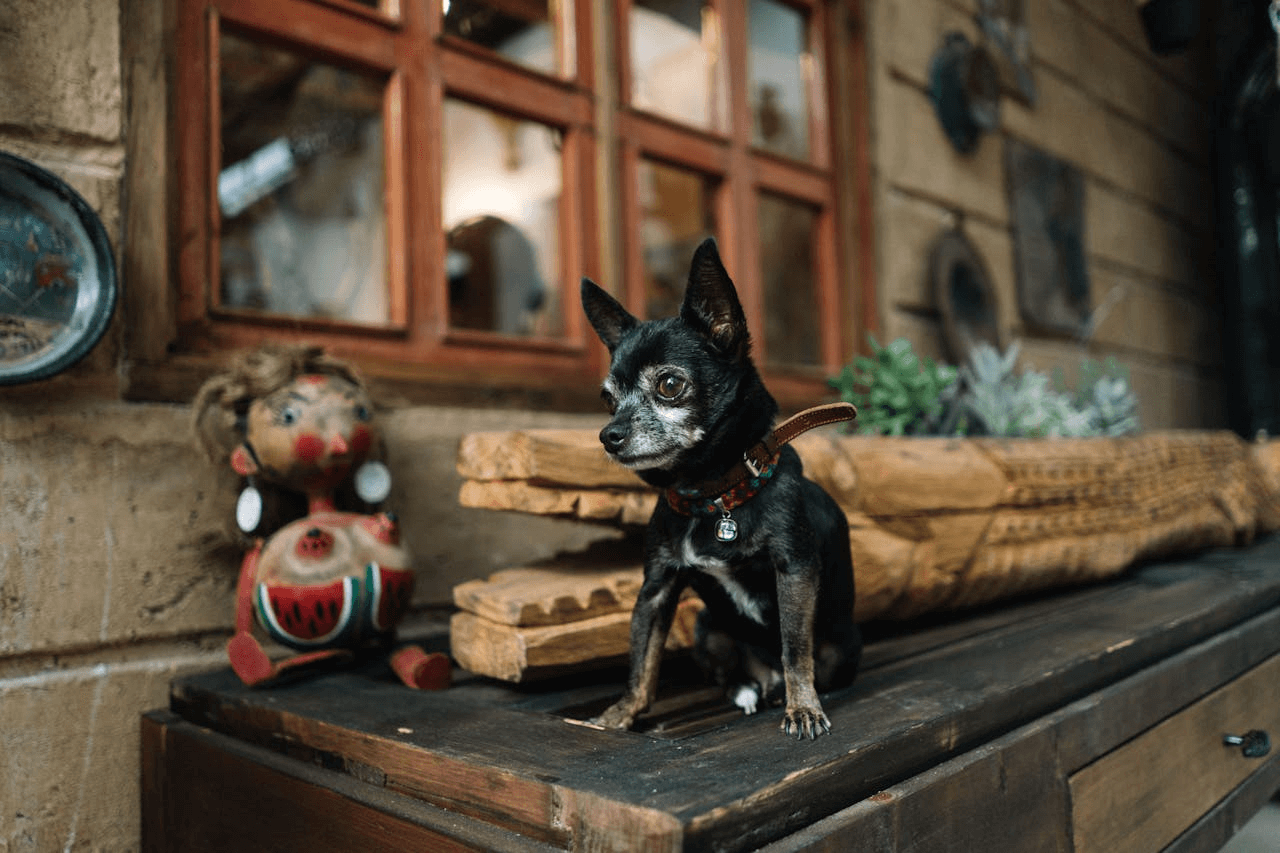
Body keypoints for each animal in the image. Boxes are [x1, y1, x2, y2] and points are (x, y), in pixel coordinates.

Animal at [581, 235, 860, 732]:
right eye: (608, 399)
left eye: (670, 385)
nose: (608, 435)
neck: (713, 494)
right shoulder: (656, 589)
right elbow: (641, 662)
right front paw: (621, 714)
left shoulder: (795, 571)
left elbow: (795, 648)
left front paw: (803, 707)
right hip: (706, 628)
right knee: (739, 673)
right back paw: (749, 689)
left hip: (840, 650)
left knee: (801, 661)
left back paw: (780, 692)